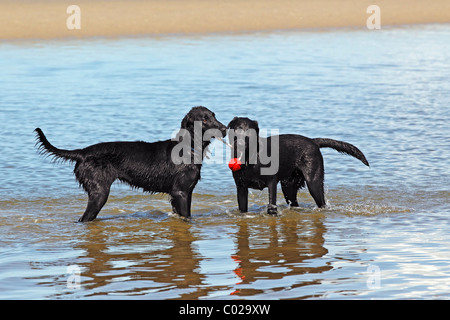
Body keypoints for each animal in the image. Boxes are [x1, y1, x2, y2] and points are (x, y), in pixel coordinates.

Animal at [35, 106, 227, 221]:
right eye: (204, 119)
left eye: (214, 116)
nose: (225, 129)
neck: (188, 147)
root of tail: (82, 152)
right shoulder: (180, 192)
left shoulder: (184, 193)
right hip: (99, 193)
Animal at [225, 116, 370, 214]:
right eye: (236, 130)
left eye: (250, 132)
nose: (240, 144)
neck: (250, 158)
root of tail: (313, 141)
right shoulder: (241, 187)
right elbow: (242, 207)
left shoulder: (272, 182)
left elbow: (271, 203)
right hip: (288, 186)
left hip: (313, 182)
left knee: (321, 201)